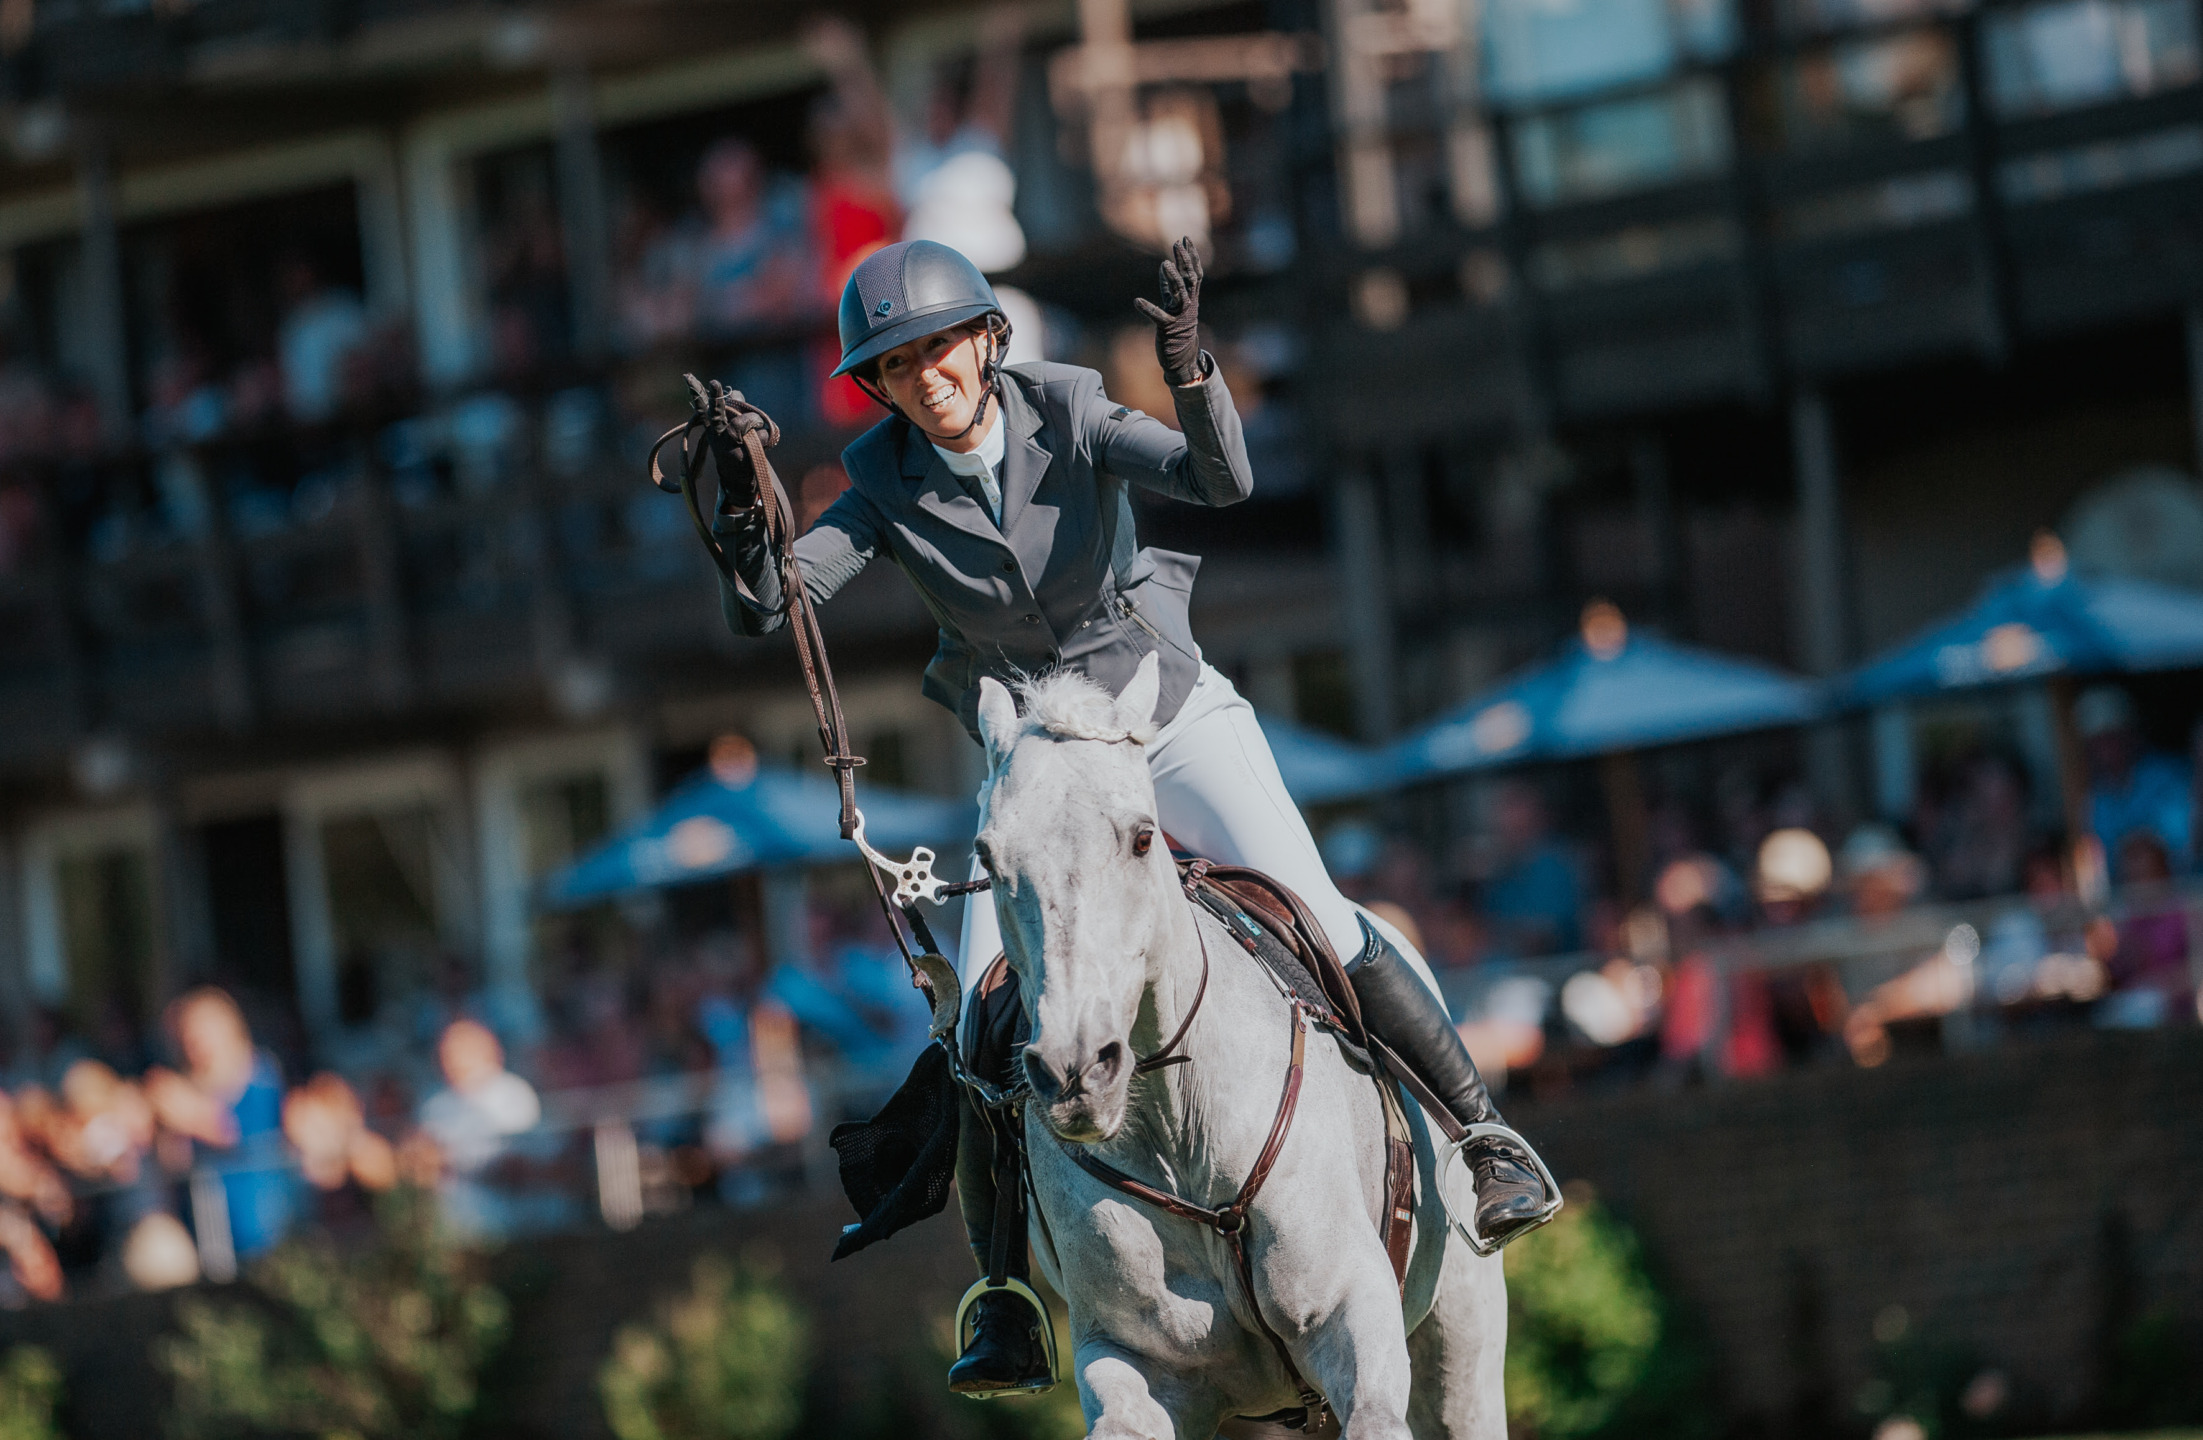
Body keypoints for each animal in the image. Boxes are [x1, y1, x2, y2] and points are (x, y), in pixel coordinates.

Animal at [982, 656, 1515, 1440]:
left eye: (1142, 838)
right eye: (987, 858)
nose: (1077, 1070)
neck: (1177, 1128)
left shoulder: (1353, 1316)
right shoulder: (1133, 1365)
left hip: (1460, 1347)